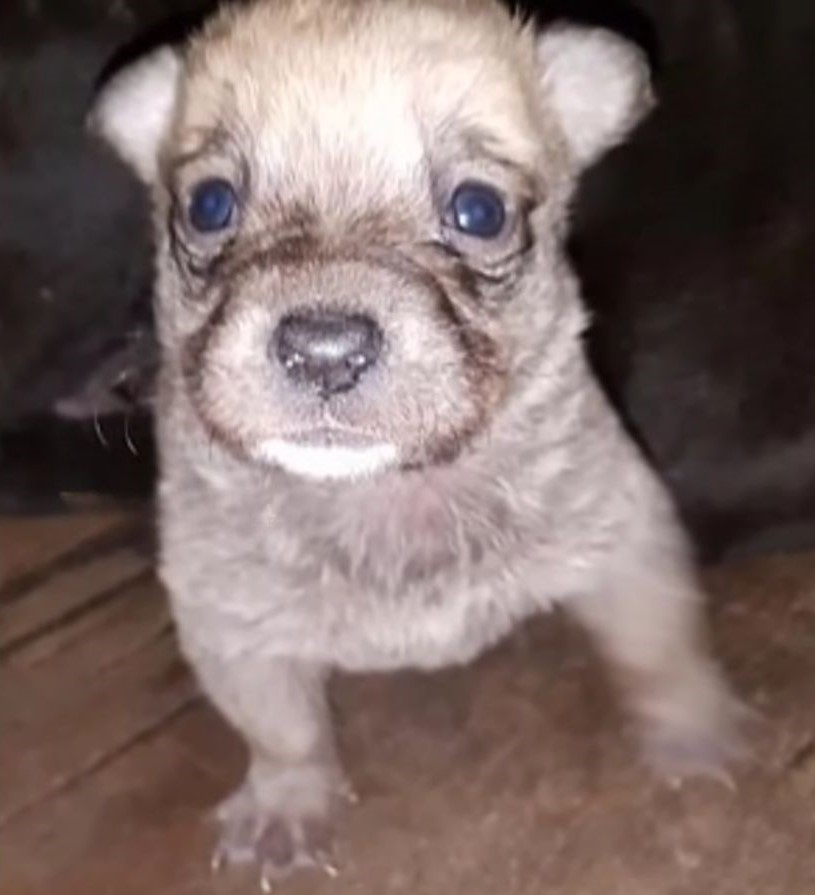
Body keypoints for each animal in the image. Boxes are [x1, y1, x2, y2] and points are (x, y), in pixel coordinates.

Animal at [94, 0, 744, 880]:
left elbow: (662, 646)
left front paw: (692, 725)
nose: (324, 348)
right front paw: (287, 804)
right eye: (209, 206)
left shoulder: (626, 540)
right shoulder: (229, 623)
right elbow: (283, 731)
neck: (386, 489)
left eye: (478, 210)